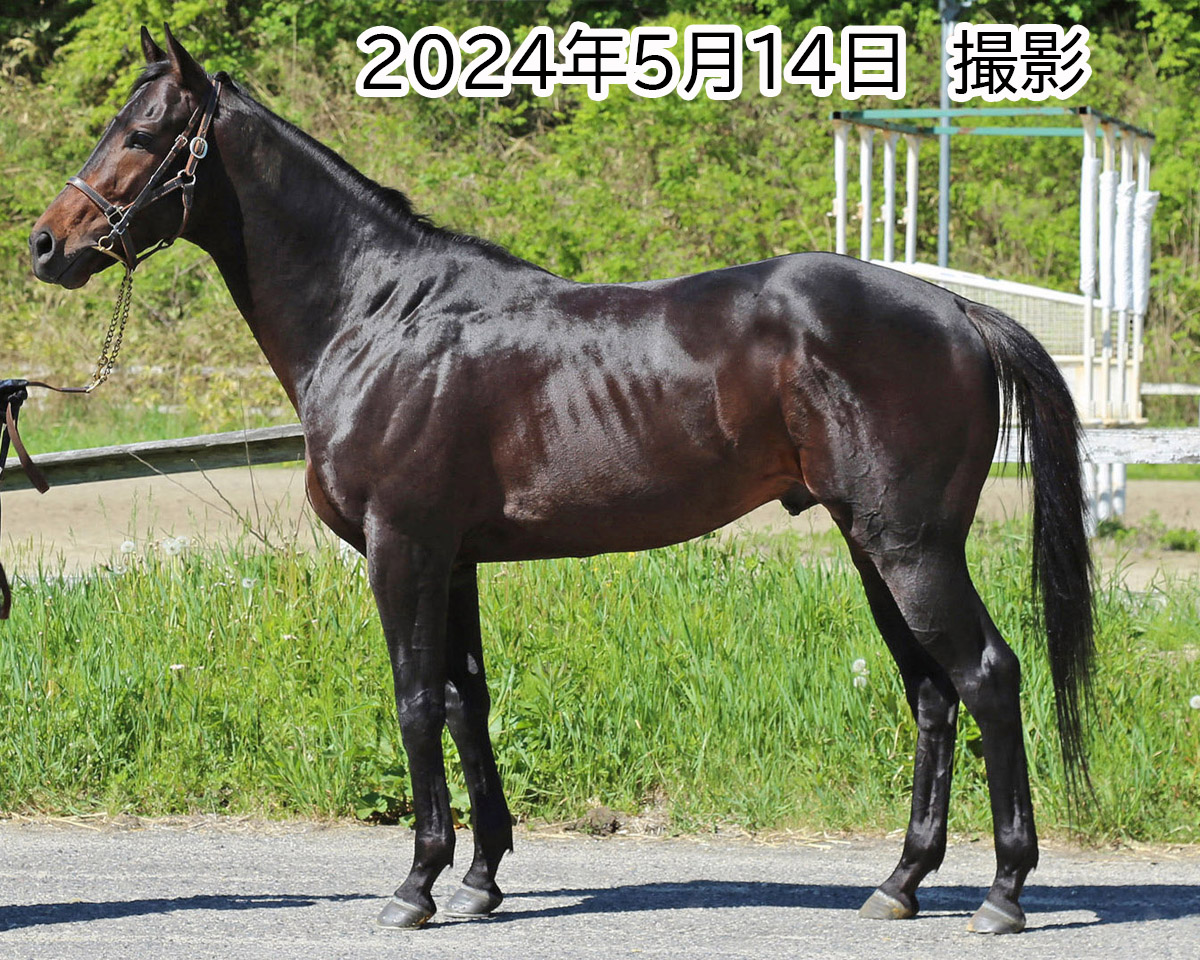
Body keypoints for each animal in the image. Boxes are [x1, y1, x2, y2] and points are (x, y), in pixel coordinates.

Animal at [29, 26, 1093, 935]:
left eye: (144, 133)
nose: (47, 245)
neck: (382, 315)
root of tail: (957, 310)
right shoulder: (454, 559)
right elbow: (466, 701)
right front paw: (478, 878)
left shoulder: (402, 549)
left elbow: (415, 702)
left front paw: (415, 885)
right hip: (874, 545)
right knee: (933, 694)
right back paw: (900, 883)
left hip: (911, 548)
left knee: (986, 676)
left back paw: (1002, 893)